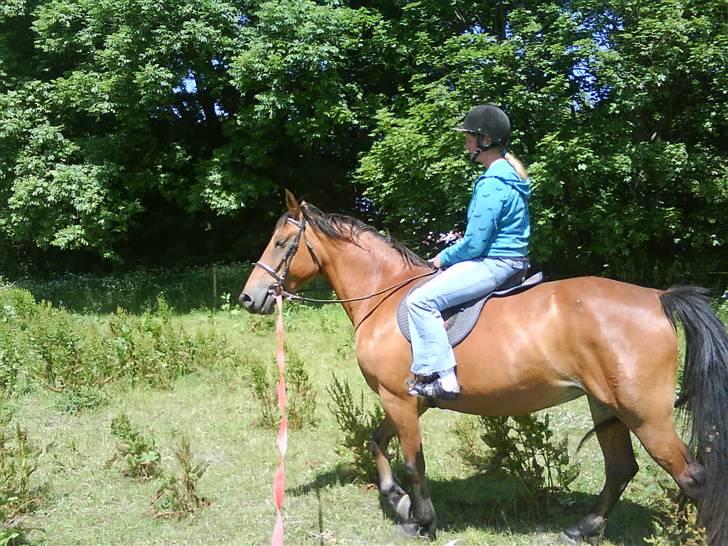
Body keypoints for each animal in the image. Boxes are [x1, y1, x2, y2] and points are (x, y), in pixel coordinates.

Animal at [240, 191, 728, 544]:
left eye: (282, 243)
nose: (249, 297)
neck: (386, 296)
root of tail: (656, 297)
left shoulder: (399, 399)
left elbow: (413, 460)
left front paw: (421, 519)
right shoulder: (409, 400)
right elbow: (377, 441)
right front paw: (397, 500)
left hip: (645, 414)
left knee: (692, 477)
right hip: (606, 405)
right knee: (622, 469)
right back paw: (583, 529)